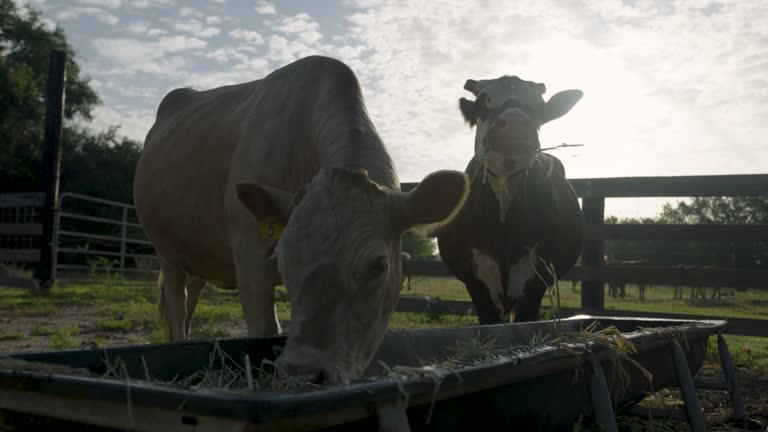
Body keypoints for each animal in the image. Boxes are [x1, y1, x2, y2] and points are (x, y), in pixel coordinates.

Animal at [133, 55, 468, 384]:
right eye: (283, 260)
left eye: (378, 266)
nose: (304, 372)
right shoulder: (249, 252)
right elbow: (265, 329)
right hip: (167, 252)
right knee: (177, 304)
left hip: (200, 255)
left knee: (192, 297)